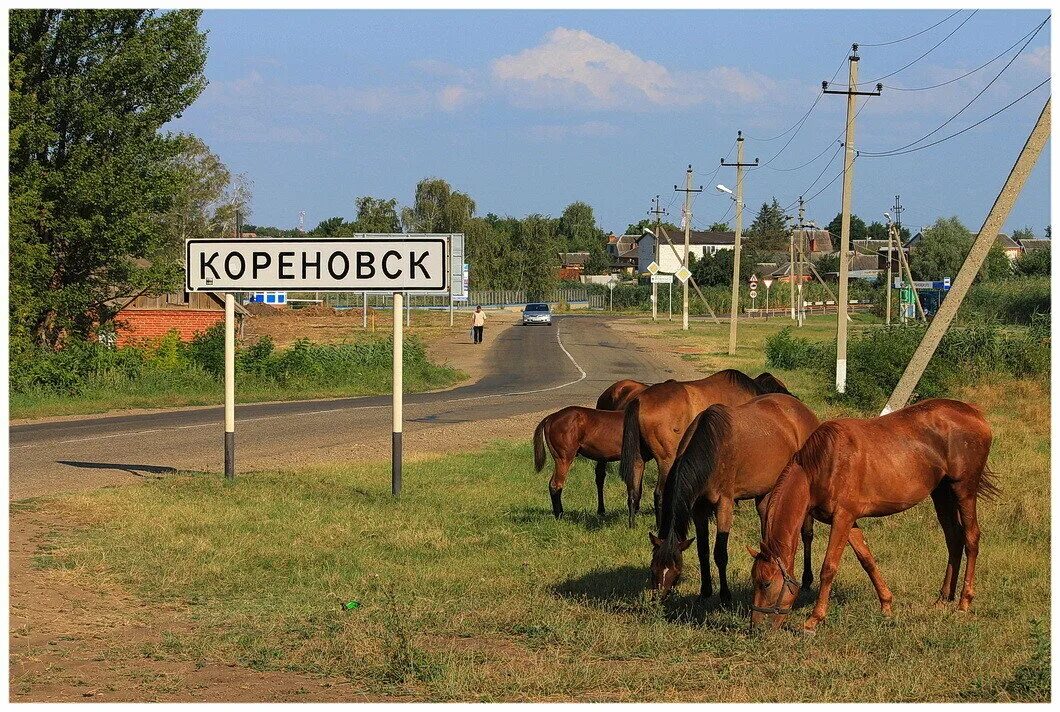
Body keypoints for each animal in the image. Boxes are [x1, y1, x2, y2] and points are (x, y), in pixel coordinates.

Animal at [619, 366, 792, 527]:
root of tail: (639, 400)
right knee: (659, 494)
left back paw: (632, 525)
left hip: (638, 459)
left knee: (633, 491)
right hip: (667, 460)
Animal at [644, 392, 818, 601]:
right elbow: (703, 550)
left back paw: (807, 580)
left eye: (675, 569)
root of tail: (804, 411)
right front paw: (705, 591)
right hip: (764, 492)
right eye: (653, 567)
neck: (712, 446)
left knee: (807, 534)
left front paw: (725, 596)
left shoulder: (724, 504)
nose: (657, 598)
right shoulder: (698, 508)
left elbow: (720, 553)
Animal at [746, 394, 992, 635]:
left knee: (971, 538)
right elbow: (867, 560)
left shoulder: (843, 518)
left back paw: (963, 602)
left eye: (766, 583)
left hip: (964, 490)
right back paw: (943, 599)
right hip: (942, 493)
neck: (821, 465)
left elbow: (829, 567)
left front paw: (813, 620)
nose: (755, 627)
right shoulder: (849, 521)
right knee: (954, 539)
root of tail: (974, 413)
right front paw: (886, 604)